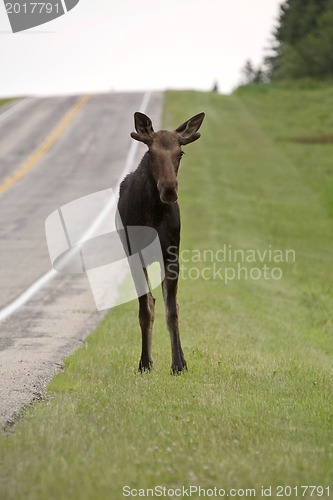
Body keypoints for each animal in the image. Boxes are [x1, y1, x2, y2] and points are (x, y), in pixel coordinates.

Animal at [116, 111, 205, 374]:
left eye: (180, 153)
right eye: (152, 152)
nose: (169, 189)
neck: (153, 216)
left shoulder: (171, 255)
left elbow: (172, 310)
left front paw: (178, 364)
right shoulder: (134, 255)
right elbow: (145, 309)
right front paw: (145, 362)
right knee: (151, 302)